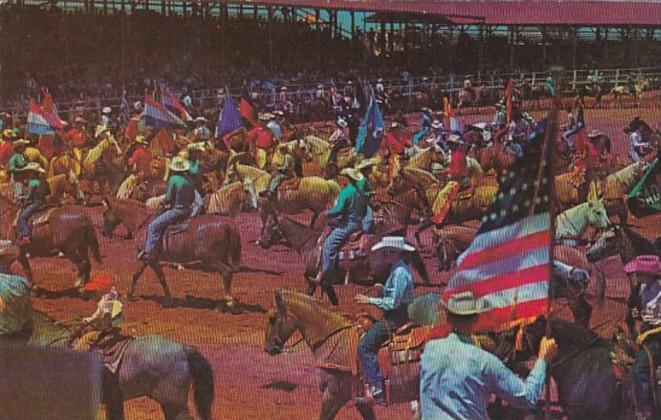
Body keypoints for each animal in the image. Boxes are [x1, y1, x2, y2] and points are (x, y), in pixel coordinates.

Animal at [98, 197, 242, 308]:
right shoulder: (145, 258)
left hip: (210, 259)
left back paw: (229, 301)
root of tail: (228, 223)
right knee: (226, 273)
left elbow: (161, 278)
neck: (142, 223)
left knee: (227, 272)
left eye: (104, 213)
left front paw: (168, 300)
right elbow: (136, 274)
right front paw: (128, 294)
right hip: (221, 257)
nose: (102, 232)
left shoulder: (151, 259)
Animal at [255, 217, 426, 306]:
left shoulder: (314, 277)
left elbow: (310, 293)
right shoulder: (325, 281)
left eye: (271, 228)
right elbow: (331, 297)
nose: (262, 243)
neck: (309, 244)